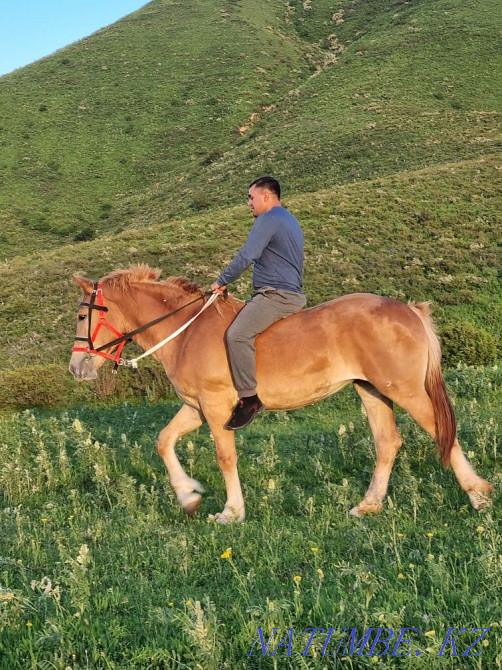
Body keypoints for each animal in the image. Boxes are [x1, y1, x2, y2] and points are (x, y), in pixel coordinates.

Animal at [68, 264, 492, 523]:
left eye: (82, 315)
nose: (76, 368)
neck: (186, 331)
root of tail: (407, 309)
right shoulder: (196, 408)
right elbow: (163, 441)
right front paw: (188, 496)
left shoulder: (218, 408)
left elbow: (225, 458)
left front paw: (231, 512)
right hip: (372, 391)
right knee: (388, 442)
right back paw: (368, 505)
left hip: (404, 390)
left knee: (441, 432)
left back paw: (479, 495)